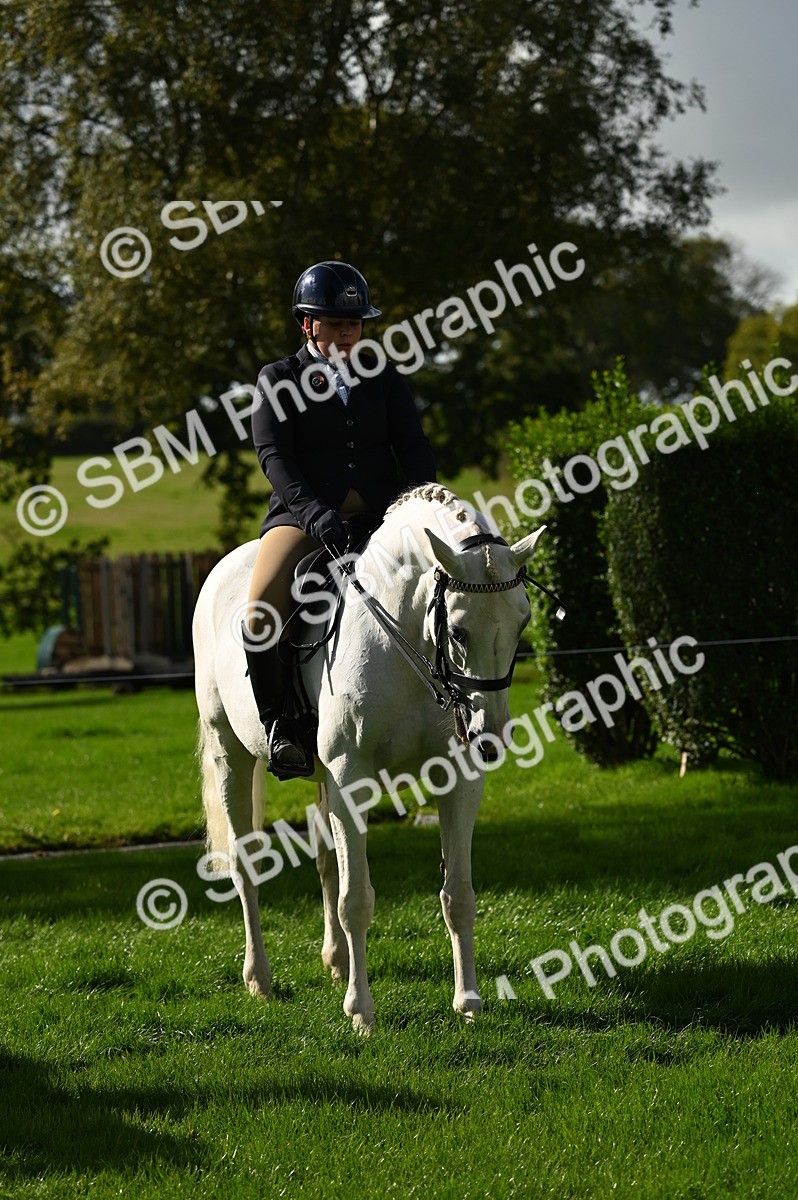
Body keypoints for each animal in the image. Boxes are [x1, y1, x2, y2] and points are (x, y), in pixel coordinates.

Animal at [193, 483, 546, 1031]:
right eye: (459, 631)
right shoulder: (350, 777)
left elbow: (458, 895)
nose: (487, 736)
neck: (403, 638)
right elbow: (355, 899)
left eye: (523, 622)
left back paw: (336, 962)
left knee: (324, 861)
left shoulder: (458, 780)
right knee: (246, 862)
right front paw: (361, 1012)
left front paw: (468, 1002)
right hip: (230, 753)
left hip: (320, 778)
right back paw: (259, 980)